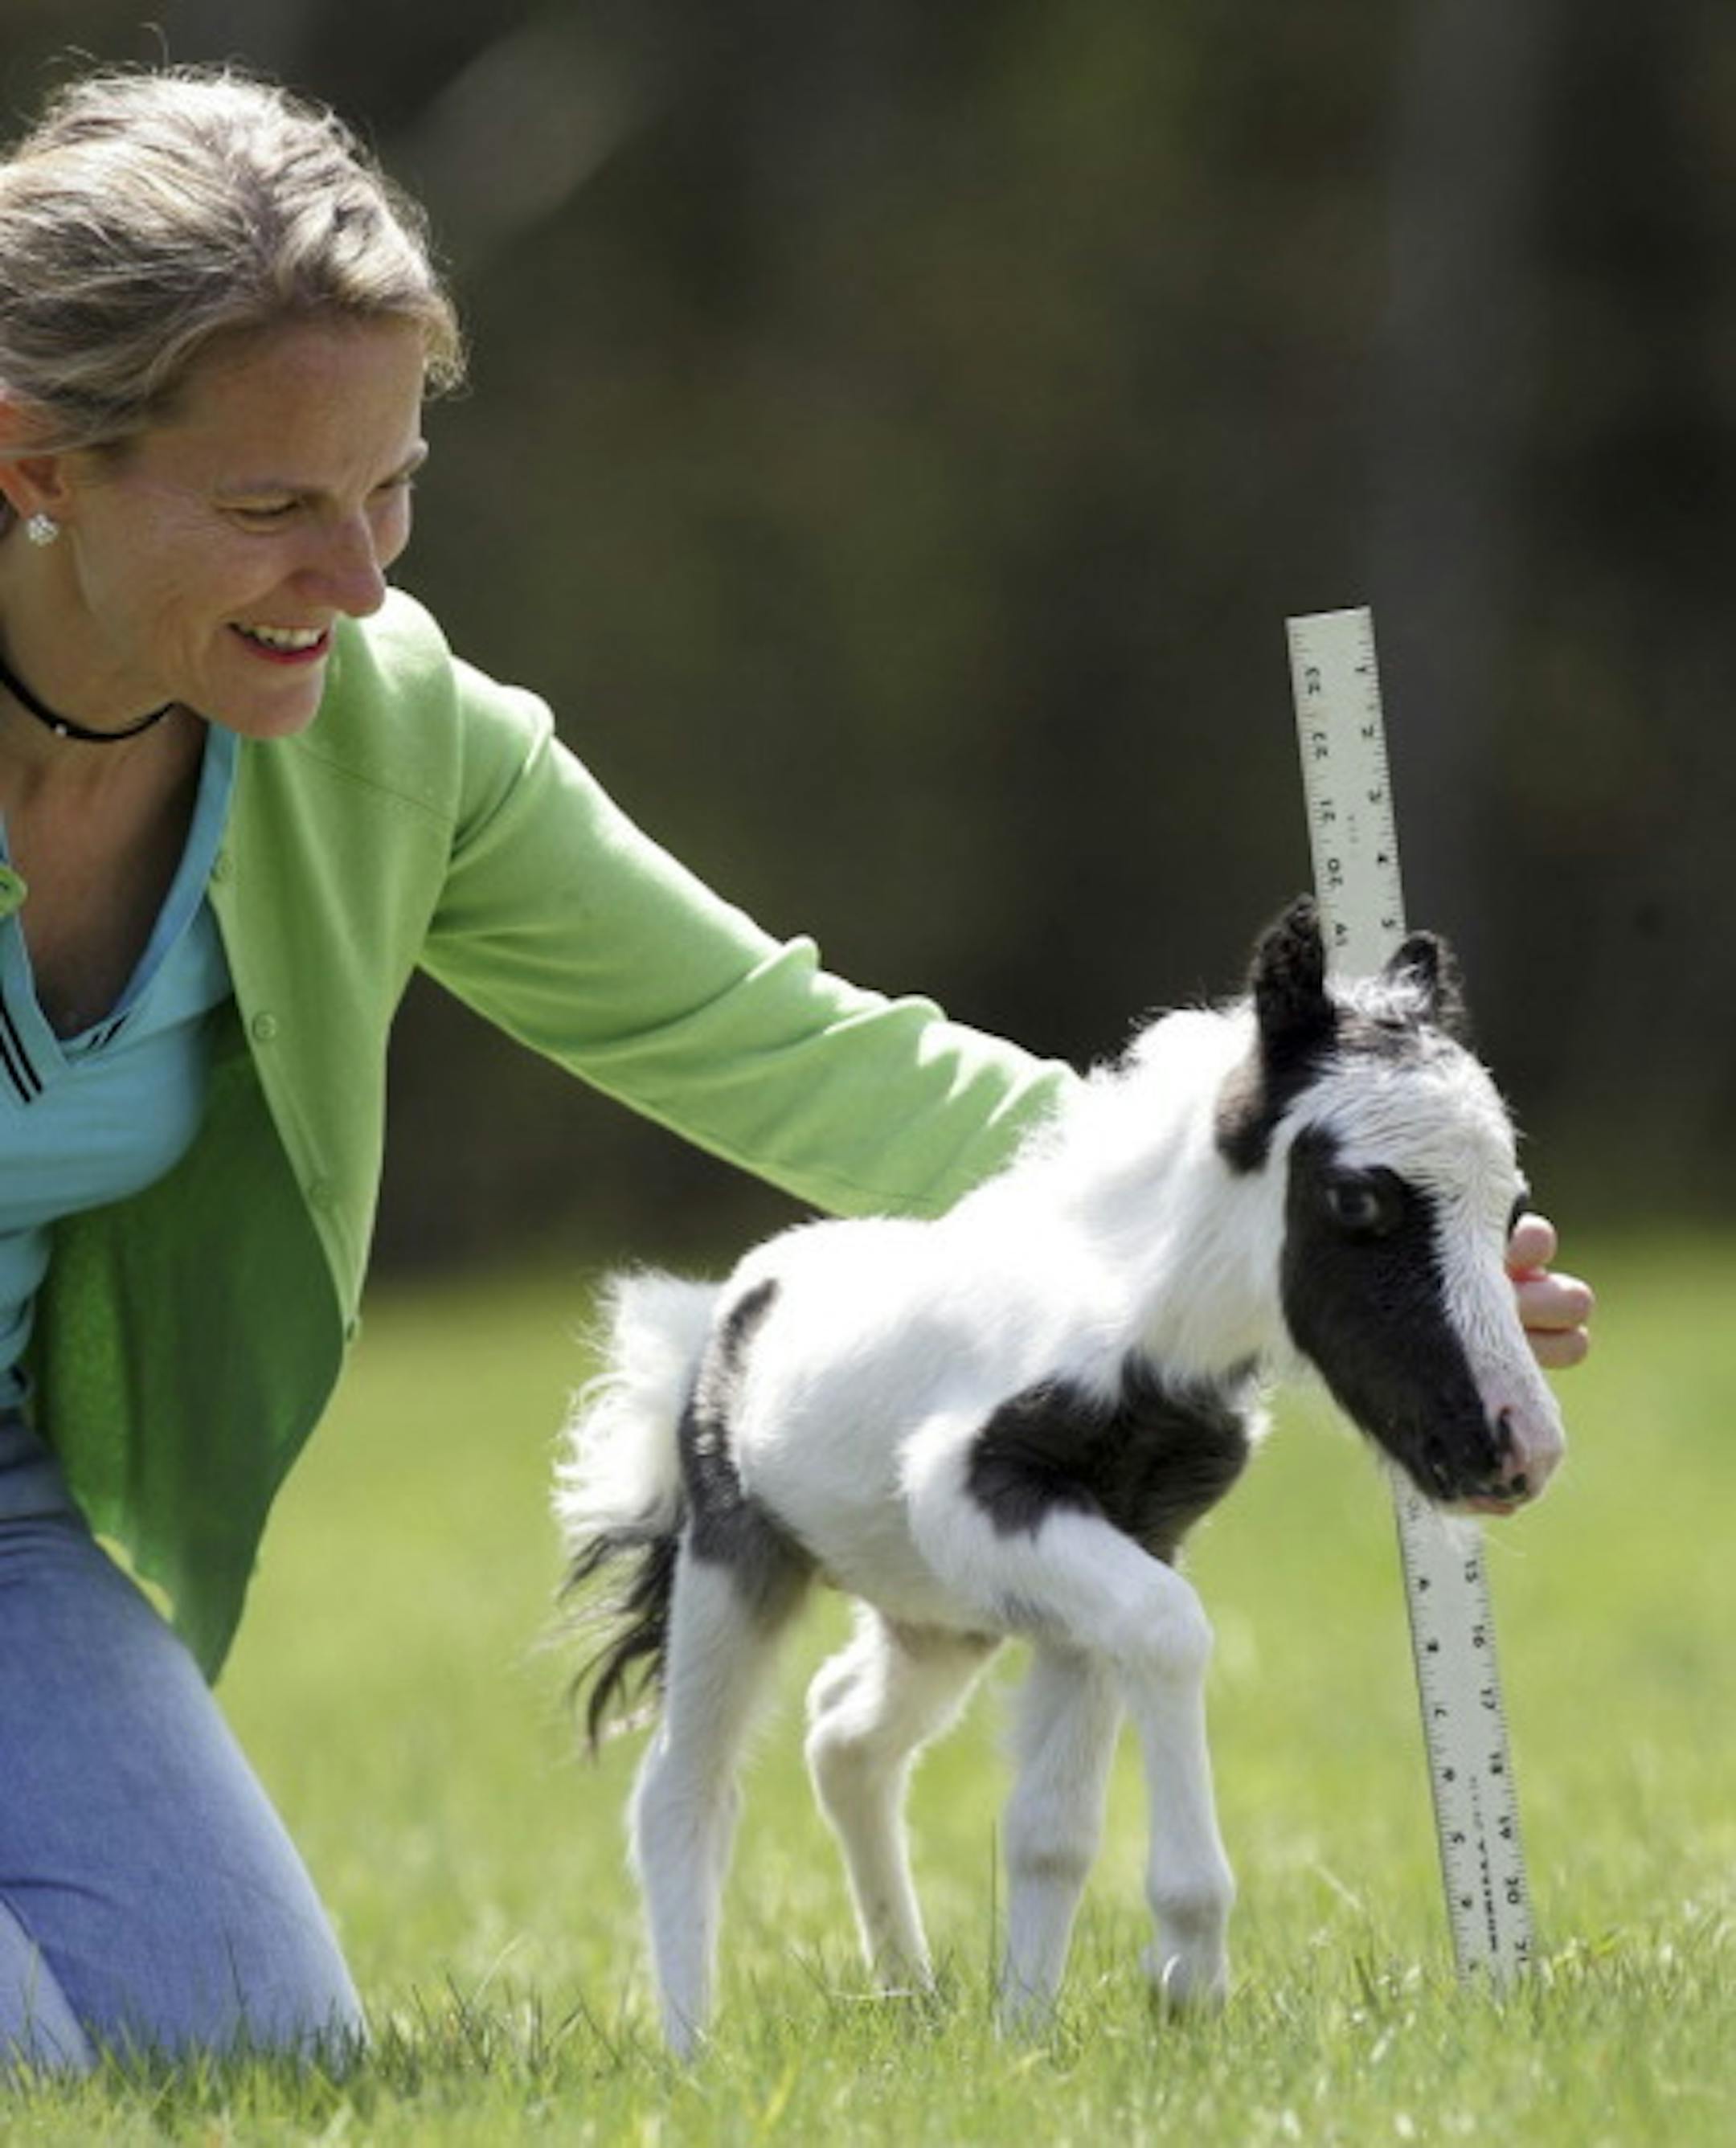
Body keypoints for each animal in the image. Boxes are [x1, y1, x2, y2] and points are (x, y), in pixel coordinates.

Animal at [554, 896, 1565, 2055]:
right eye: (1357, 1200)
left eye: (1511, 1209)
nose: (1520, 1447)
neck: (1134, 1323)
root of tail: (723, 1310)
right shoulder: (979, 1499)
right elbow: (1172, 1632)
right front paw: (1187, 1970)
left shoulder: (1114, 1544)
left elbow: (1051, 1825)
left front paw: (1025, 2041)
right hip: (737, 1567)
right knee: (685, 1785)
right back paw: (691, 2051)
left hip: (939, 1617)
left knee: (845, 1735)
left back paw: (911, 1995)